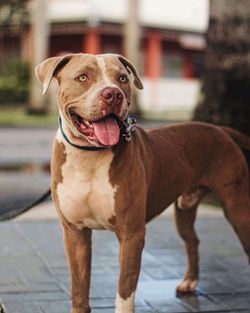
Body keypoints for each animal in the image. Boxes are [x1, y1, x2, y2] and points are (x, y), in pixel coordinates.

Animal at [35, 53, 250, 312]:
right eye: (83, 77)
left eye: (122, 78)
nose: (113, 94)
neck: (89, 156)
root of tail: (220, 129)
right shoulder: (75, 233)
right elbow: (79, 289)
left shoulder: (131, 234)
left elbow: (125, 291)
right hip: (185, 207)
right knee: (192, 240)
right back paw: (189, 282)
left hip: (238, 209)